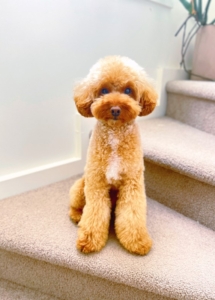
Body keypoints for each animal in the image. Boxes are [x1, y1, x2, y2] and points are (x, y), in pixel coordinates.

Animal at [69, 55, 158, 254]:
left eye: (128, 90)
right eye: (103, 90)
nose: (116, 109)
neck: (115, 134)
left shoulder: (132, 183)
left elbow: (132, 212)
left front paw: (137, 240)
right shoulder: (96, 182)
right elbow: (95, 211)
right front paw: (89, 239)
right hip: (80, 187)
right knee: (77, 205)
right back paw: (77, 216)